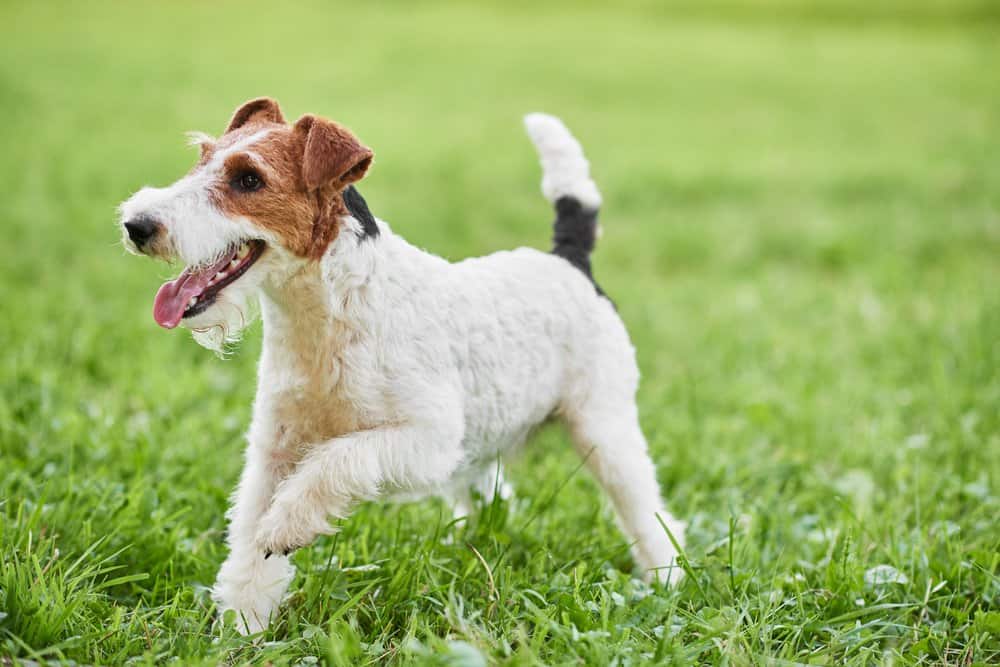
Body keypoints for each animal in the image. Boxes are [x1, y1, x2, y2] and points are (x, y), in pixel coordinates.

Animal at [115, 99, 680, 636]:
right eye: (202, 157)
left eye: (249, 179)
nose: (136, 225)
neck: (329, 312)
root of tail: (570, 261)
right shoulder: (274, 449)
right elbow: (250, 549)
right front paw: (242, 628)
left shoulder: (426, 440)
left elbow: (335, 461)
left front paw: (287, 527)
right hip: (486, 440)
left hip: (602, 428)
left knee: (651, 515)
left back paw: (667, 579)